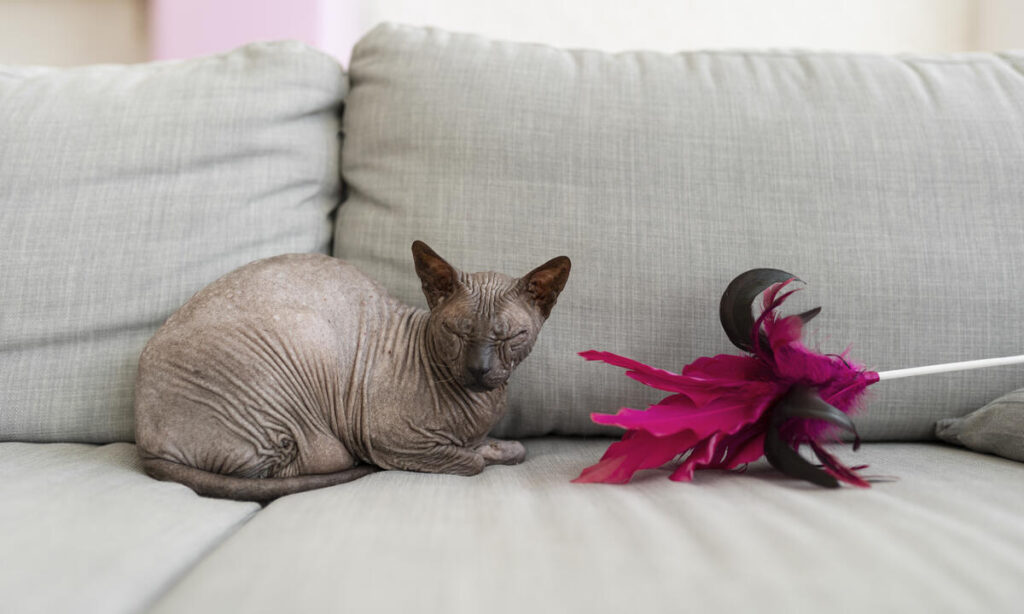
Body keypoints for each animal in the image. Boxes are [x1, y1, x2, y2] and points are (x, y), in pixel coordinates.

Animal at [132, 239, 573, 499]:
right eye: (457, 332)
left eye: (510, 337)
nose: (479, 369)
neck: (479, 407)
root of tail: (143, 442)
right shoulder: (389, 442)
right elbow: (471, 461)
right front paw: (483, 450)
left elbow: (510, 449)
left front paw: (499, 446)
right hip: (308, 354)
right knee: (306, 465)